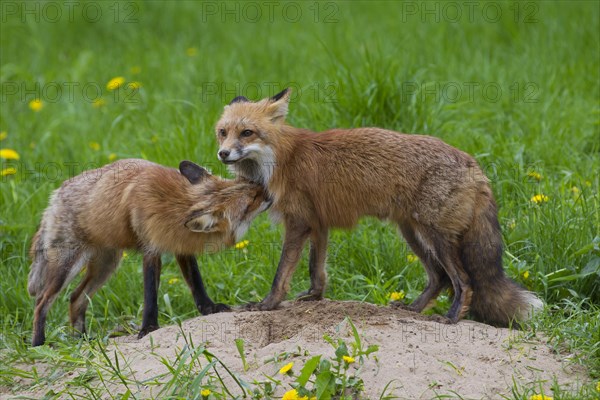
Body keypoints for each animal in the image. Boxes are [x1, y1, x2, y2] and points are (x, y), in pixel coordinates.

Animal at [29, 158, 268, 346]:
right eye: (251, 201)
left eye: (250, 183)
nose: (268, 193)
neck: (175, 206)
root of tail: (56, 194)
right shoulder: (151, 249)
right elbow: (150, 294)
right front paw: (148, 328)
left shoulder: (181, 246)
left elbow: (196, 283)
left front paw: (209, 308)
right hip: (67, 267)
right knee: (42, 301)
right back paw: (39, 343)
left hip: (106, 266)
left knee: (75, 299)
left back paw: (81, 340)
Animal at [214, 87, 544, 324]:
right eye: (222, 132)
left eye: (247, 133)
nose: (222, 154)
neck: (280, 159)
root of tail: (473, 162)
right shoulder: (318, 223)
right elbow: (316, 270)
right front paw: (313, 297)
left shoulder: (298, 223)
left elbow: (281, 274)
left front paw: (266, 305)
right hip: (412, 233)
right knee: (439, 278)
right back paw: (413, 309)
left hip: (436, 235)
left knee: (463, 281)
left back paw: (451, 317)